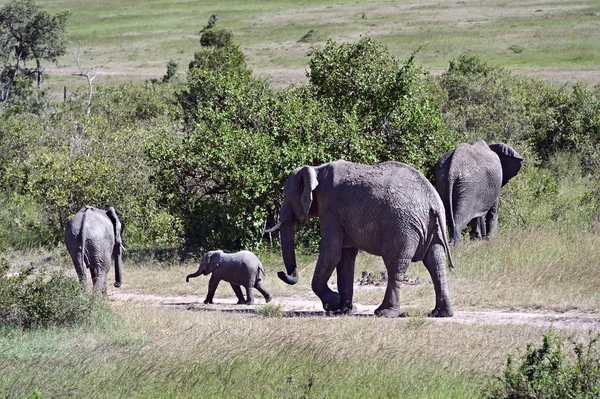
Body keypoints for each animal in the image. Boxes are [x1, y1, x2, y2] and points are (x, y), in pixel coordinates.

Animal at [264, 159, 452, 318]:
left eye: (286, 197)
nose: (280, 272)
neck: (316, 169)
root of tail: (432, 202)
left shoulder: (330, 209)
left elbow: (331, 253)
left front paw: (333, 303)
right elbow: (345, 257)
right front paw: (343, 310)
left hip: (402, 227)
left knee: (395, 265)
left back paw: (384, 313)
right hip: (433, 227)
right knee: (436, 263)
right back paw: (440, 313)